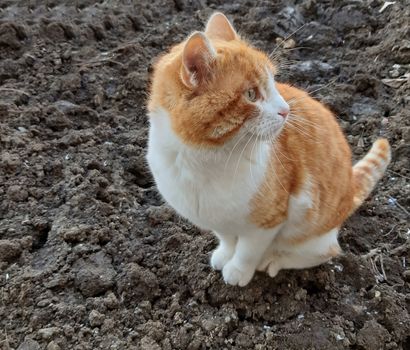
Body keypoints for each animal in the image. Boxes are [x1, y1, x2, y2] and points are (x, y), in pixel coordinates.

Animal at [146, 12, 392, 286]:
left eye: (274, 83)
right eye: (251, 94)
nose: (286, 110)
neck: (201, 159)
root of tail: (350, 186)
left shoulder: (268, 222)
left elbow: (247, 250)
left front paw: (238, 271)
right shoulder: (217, 218)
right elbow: (227, 238)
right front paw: (224, 255)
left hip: (311, 228)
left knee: (325, 251)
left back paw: (274, 260)